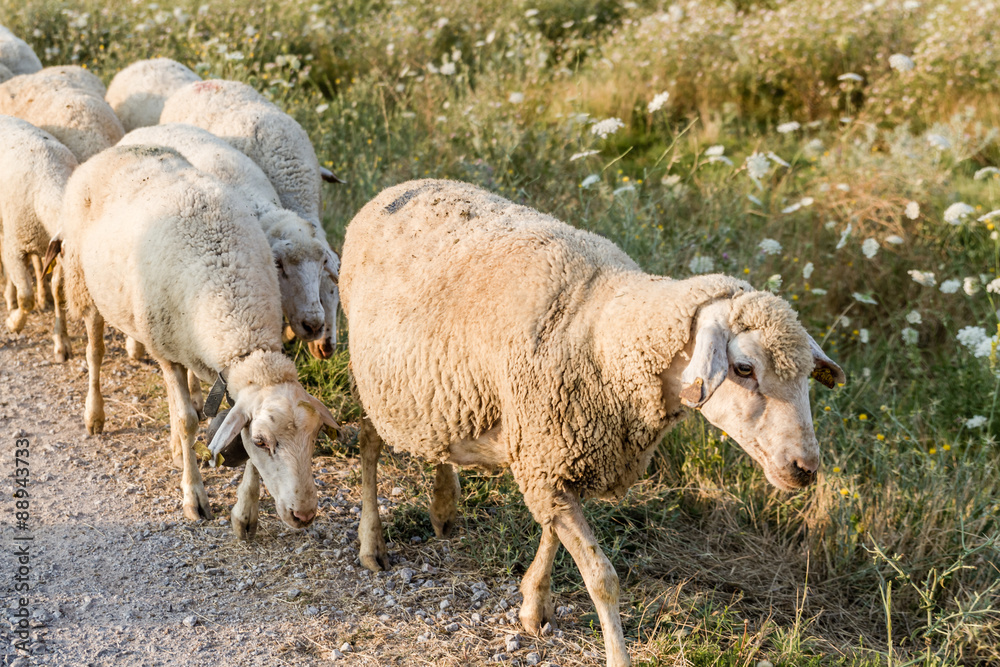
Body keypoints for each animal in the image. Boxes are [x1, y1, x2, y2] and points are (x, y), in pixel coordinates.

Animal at [0, 115, 75, 361]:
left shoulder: (56, 253)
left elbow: (59, 293)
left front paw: (61, 343)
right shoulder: (15, 248)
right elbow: (26, 297)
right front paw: (14, 323)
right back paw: (10, 298)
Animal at [58, 143, 337, 537]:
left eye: (314, 439)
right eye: (262, 441)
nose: (305, 515)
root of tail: (117, 149)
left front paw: (245, 515)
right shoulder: (166, 353)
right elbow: (188, 422)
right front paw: (194, 498)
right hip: (85, 284)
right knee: (95, 352)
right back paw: (95, 415)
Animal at [339, 179, 846, 667]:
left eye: (806, 375)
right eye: (743, 368)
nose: (805, 468)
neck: (606, 331)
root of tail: (393, 191)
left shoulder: (554, 456)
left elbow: (550, 537)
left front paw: (533, 606)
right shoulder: (547, 456)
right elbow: (602, 577)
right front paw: (616, 653)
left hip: (437, 388)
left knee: (438, 438)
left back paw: (444, 504)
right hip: (370, 375)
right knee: (368, 444)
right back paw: (371, 544)